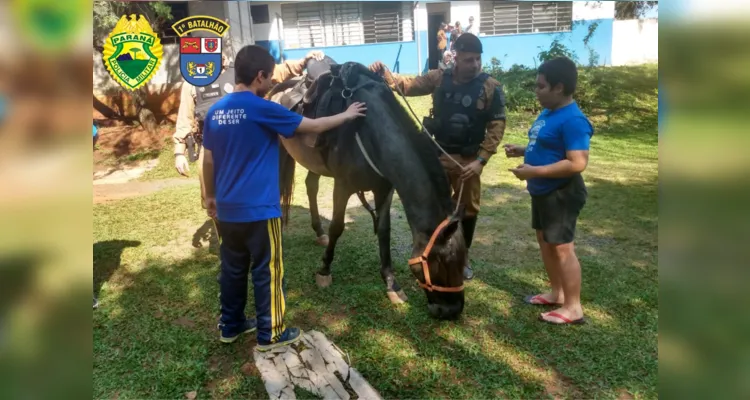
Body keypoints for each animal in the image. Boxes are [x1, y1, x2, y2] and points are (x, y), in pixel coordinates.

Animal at [274, 61, 468, 318]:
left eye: (464, 261)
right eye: (443, 261)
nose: (451, 311)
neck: (369, 129)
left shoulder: (384, 189)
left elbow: (384, 231)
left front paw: (391, 283)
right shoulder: (342, 185)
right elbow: (337, 227)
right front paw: (324, 270)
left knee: (311, 186)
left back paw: (318, 231)